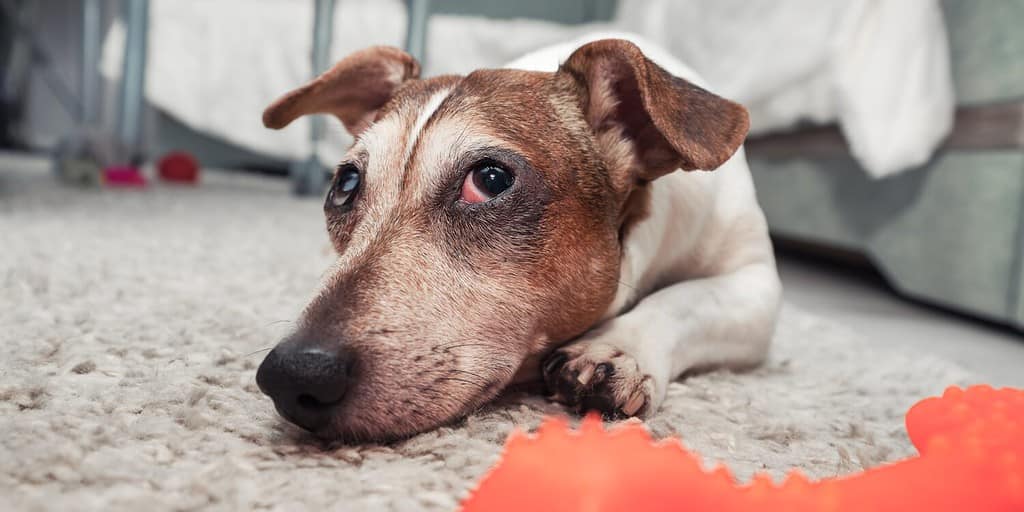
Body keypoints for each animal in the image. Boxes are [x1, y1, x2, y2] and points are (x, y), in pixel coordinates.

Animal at [258, 34, 782, 442]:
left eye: (490, 180)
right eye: (345, 185)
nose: (291, 375)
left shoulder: (757, 285)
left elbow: (686, 299)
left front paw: (619, 349)